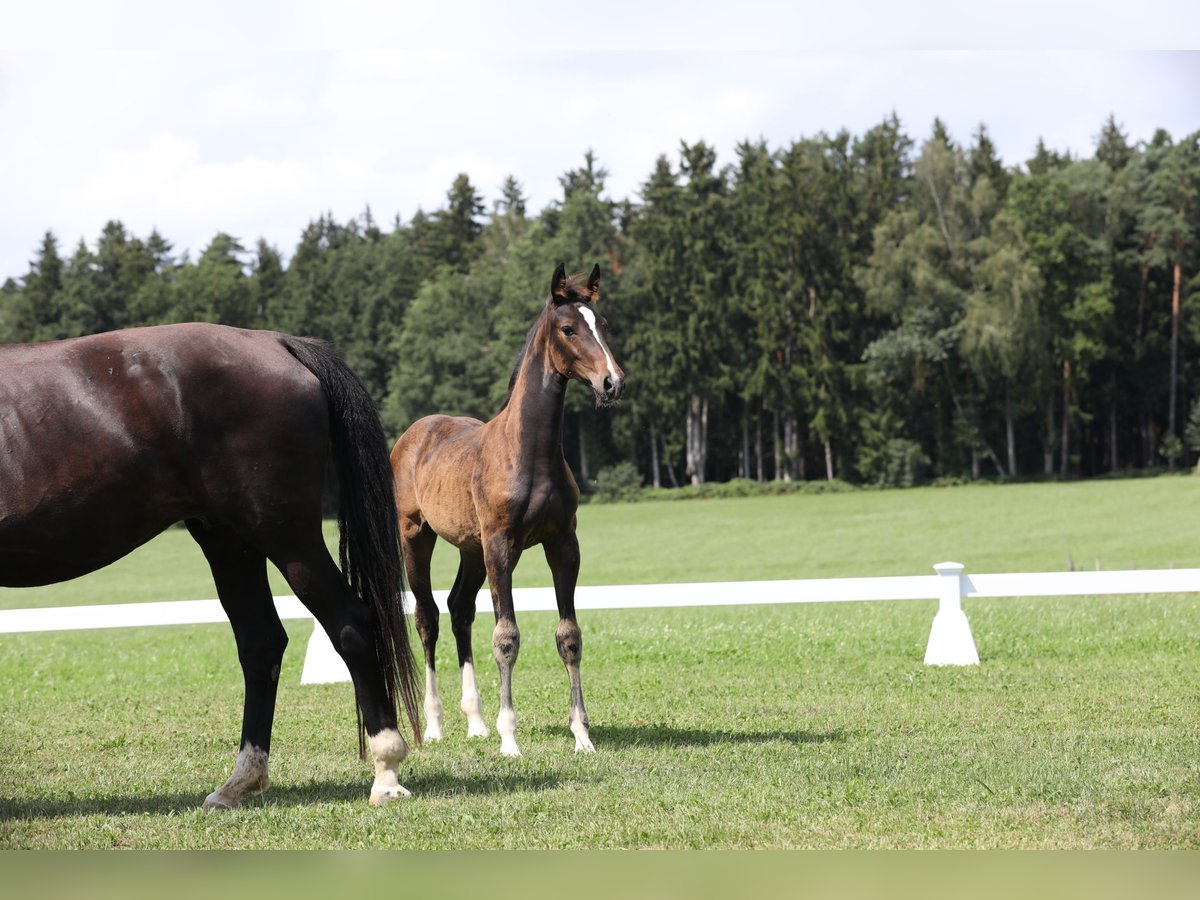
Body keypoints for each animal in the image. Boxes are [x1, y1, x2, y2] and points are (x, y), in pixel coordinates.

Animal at [0, 326, 422, 811]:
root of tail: (274, 341)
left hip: (285, 535)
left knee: (350, 624)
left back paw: (385, 774)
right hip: (229, 540)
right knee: (261, 643)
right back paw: (238, 783)